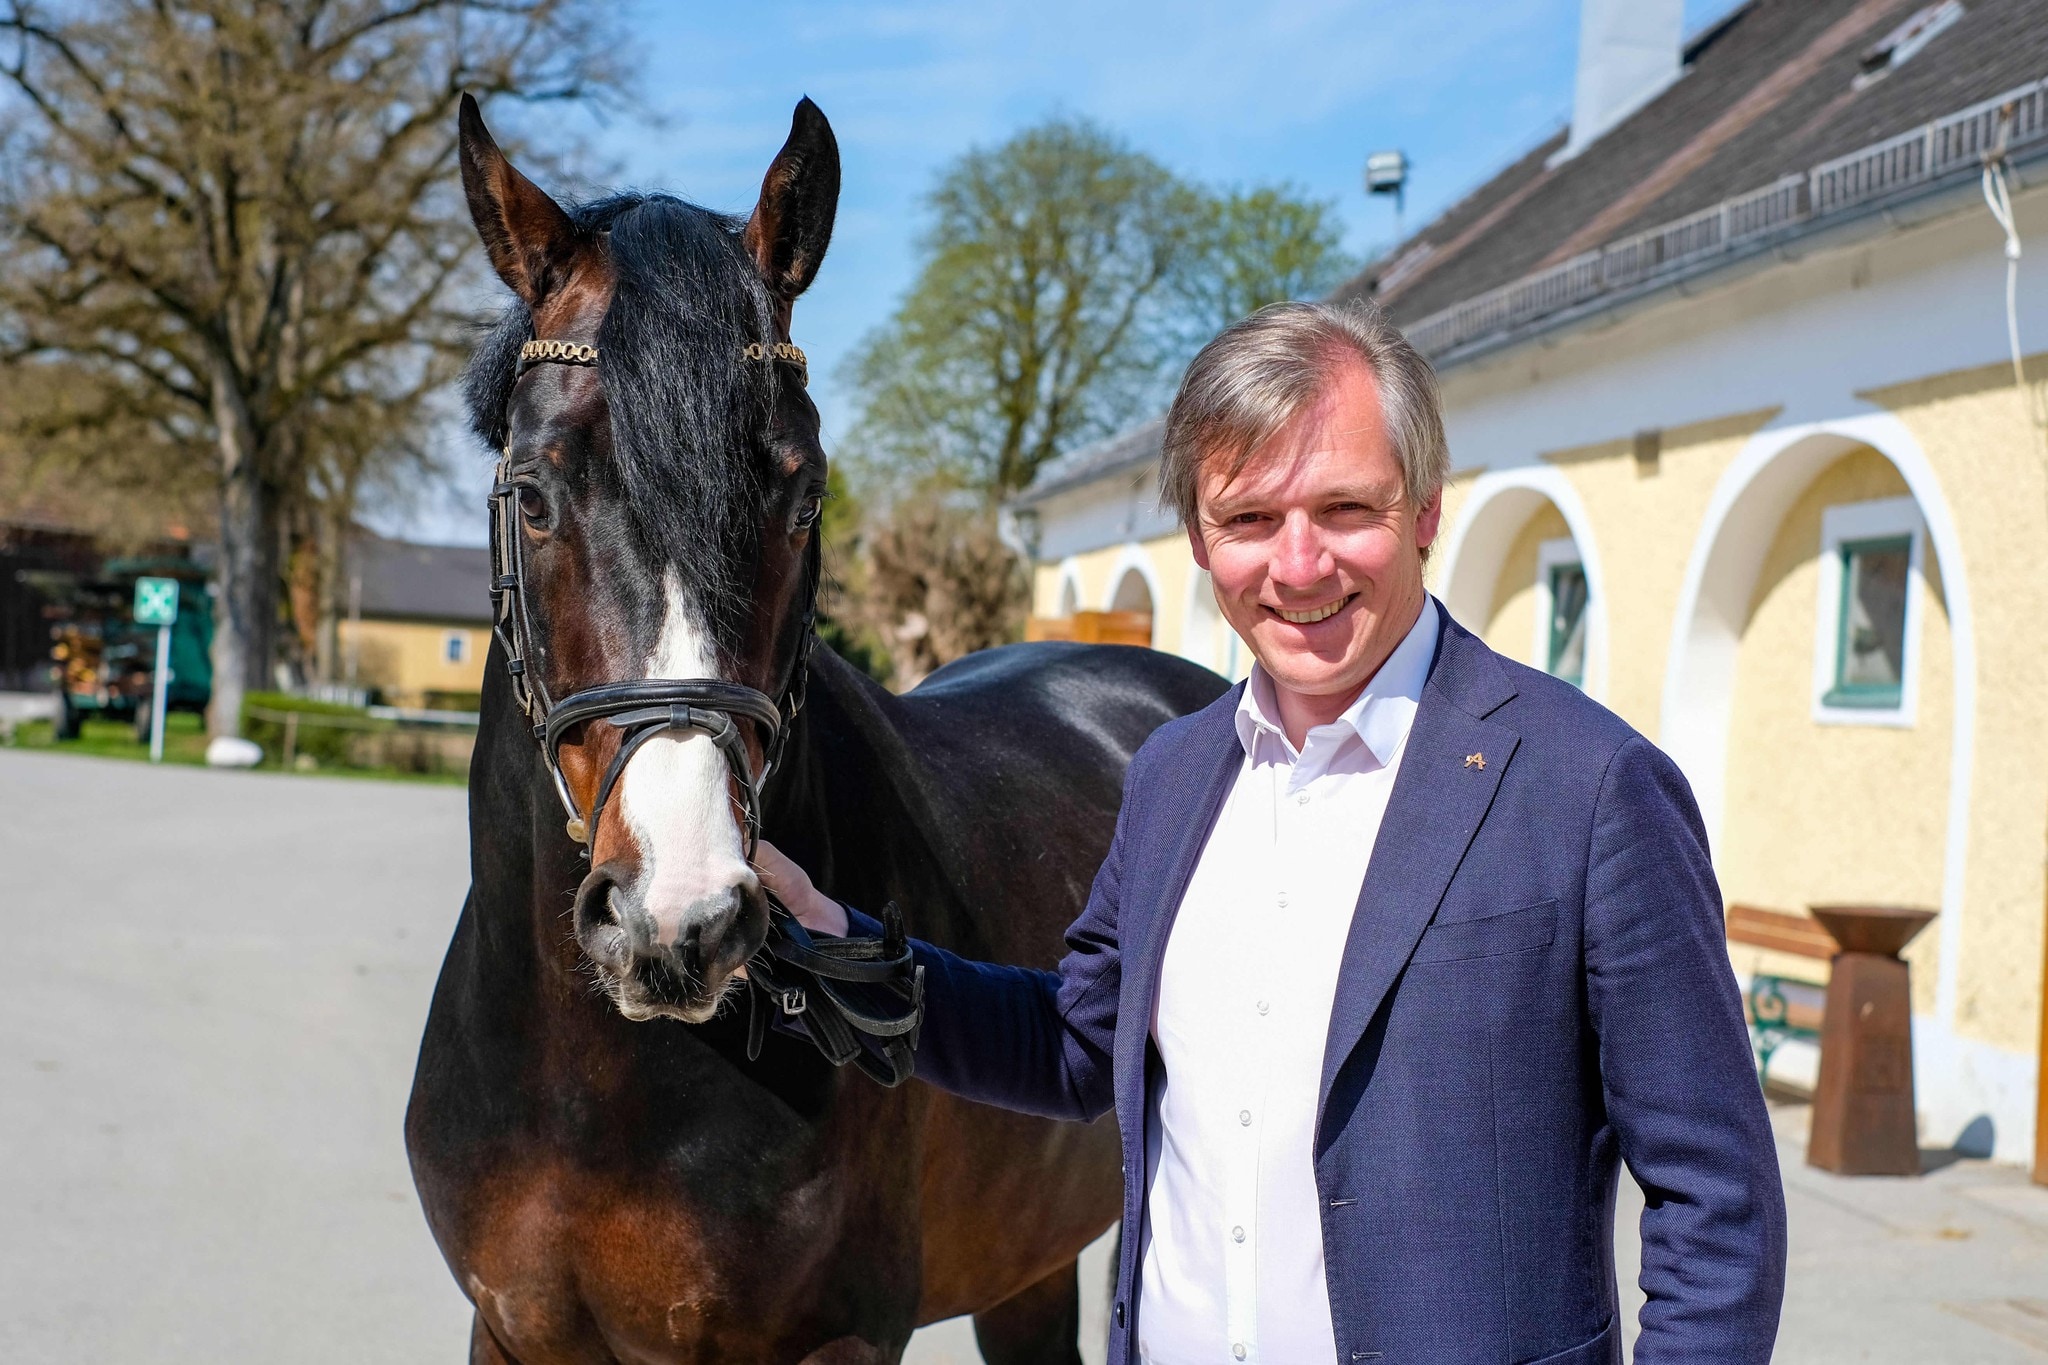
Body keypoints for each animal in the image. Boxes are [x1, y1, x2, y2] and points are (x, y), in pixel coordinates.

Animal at [405, 94, 1227, 1363]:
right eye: (533, 495)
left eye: (803, 498)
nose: (676, 919)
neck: (591, 1080)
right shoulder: (510, 1332)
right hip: (1026, 1263)